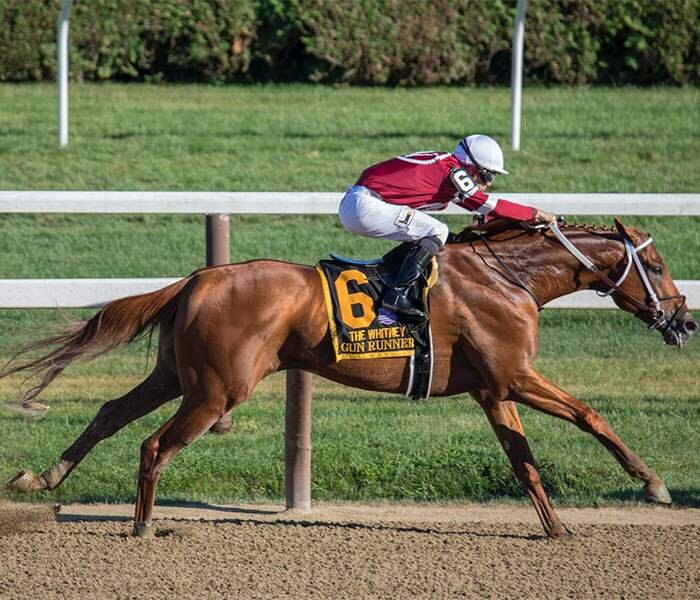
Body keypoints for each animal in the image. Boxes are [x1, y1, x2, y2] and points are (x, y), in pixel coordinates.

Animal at [4, 218, 696, 536]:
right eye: (659, 265)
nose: (684, 320)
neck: (509, 278)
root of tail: (197, 279)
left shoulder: (493, 389)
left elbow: (522, 460)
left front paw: (556, 528)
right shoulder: (516, 376)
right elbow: (590, 414)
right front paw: (654, 484)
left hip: (179, 375)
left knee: (109, 413)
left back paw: (43, 477)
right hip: (216, 390)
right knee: (153, 444)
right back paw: (144, 523)